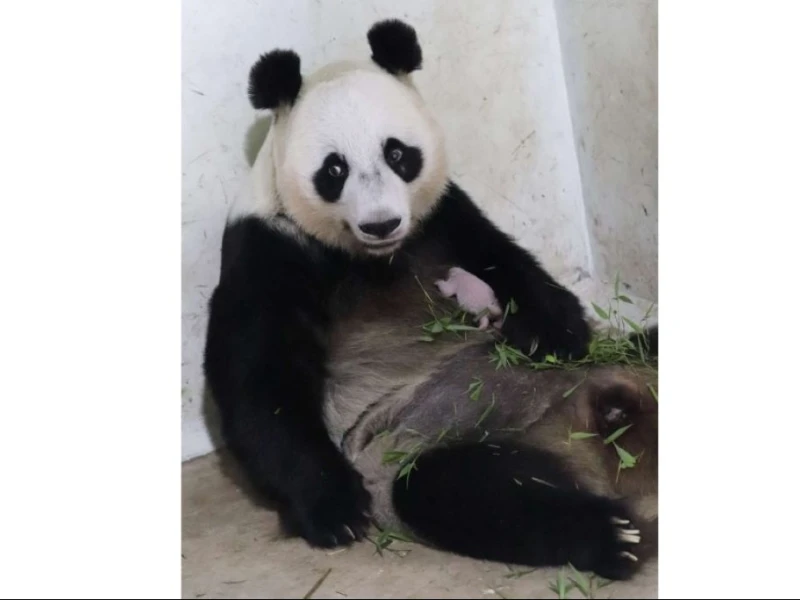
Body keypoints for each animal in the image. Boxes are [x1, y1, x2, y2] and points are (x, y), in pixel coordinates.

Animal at [203, 19, 658, 582]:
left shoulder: (443, 217)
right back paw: (612, 535)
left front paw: (554, 335)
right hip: (423, 449)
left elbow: (507, 262)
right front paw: (335, 510)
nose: (380, 223)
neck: (372, 258)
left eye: (397, 154)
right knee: (464, 492)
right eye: (334, 170)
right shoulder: (268, 246)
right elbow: (261, 381)